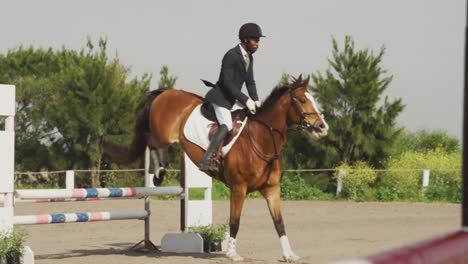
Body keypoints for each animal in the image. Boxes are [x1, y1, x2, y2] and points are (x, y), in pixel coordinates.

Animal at [129, 75, 330, 262]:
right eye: (302, 100)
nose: (322, 127)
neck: (261, 139)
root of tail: (167, 92)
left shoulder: (272, 188)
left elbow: (279, 222)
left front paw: (289, 254)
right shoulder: (238, 188)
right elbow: (235, 221)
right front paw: (232, 254)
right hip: (162, 134)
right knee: (151, 141)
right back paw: (158, 173)